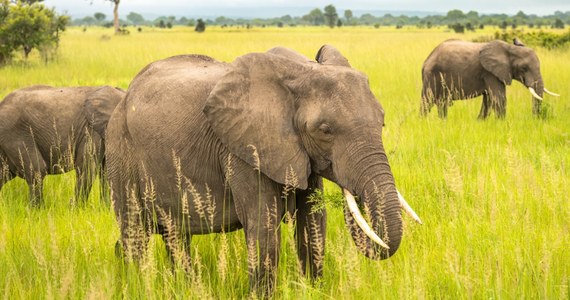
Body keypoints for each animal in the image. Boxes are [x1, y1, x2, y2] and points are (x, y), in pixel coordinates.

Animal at [101, 44, 422, 296]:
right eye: (325, 130)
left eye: (382, 121)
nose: (352, 193)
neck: (299, 71)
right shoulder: (243, 150)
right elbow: (263, 226)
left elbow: (313, 224)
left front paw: (313, 291)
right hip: (120, 150)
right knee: (134, 233)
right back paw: (138, 282)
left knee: (175, 236)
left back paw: (186, 287)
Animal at [420, 39, 556, 119]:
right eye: (524, 68)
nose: (535, 119)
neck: (509, 48)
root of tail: (427, 59)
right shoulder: (490, 72)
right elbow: (499, 98)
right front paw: (502, 125)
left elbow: (489, 99)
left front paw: (479, 123)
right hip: (432, 75)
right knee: (427, 101)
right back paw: (423, 122)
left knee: (441, 103)